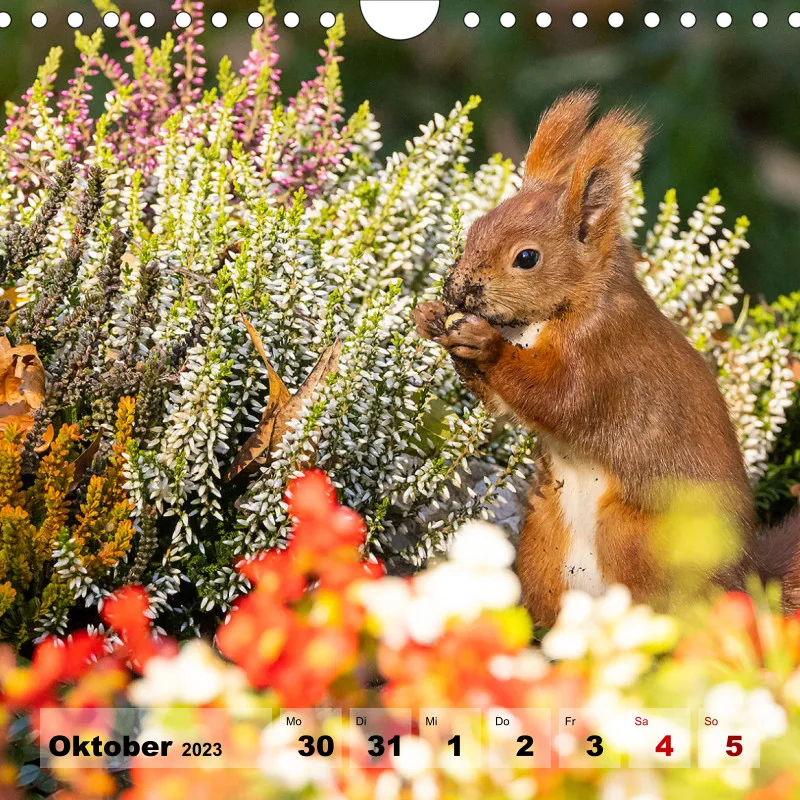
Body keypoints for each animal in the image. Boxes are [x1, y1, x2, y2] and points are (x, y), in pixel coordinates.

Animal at [414, 90, 800, 626]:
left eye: (527, 257)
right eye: (475, 227)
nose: (456, 289)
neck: (550, 316)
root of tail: (743, 581)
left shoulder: (605, 357)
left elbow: (558, 395)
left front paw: (483, 343)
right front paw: (430, 316)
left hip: (635, 541)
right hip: (544, 542)